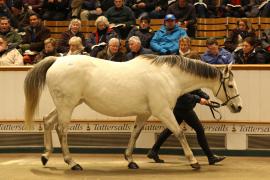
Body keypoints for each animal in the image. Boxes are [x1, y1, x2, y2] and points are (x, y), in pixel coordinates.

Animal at [24, 54, 242, 171]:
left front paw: (130, 160)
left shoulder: (144, 113)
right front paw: (194, 162)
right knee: (62, 130)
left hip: (68, 104)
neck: (168, 76)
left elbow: (135, 134)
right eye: (230, 85)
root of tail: (56, 61)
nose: (238, 107)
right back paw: (72, 163)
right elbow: (179, 133)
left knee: (47, 121)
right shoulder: (163, 111)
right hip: (67, 106)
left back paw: (45, 156)